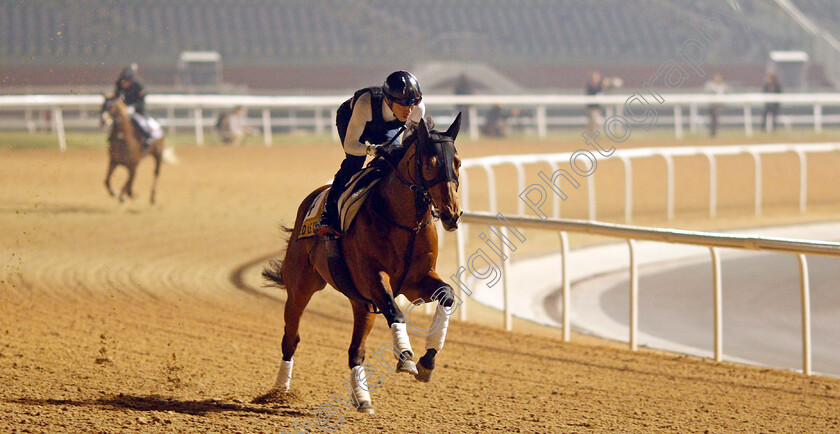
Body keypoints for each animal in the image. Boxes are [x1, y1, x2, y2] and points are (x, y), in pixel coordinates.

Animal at [262, 113, 462, 412]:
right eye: (430, 163)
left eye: (457, 162)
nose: (452, 213)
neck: (405, 223)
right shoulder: (374, 278)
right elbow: (395, 312)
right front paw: (405, 356)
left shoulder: (416, 282)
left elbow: (447, 295)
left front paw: (428, 360)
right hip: (301, 287)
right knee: (291, 338)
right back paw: (279, 390)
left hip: (361, 303)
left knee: (355, 351)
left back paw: (363, 399)